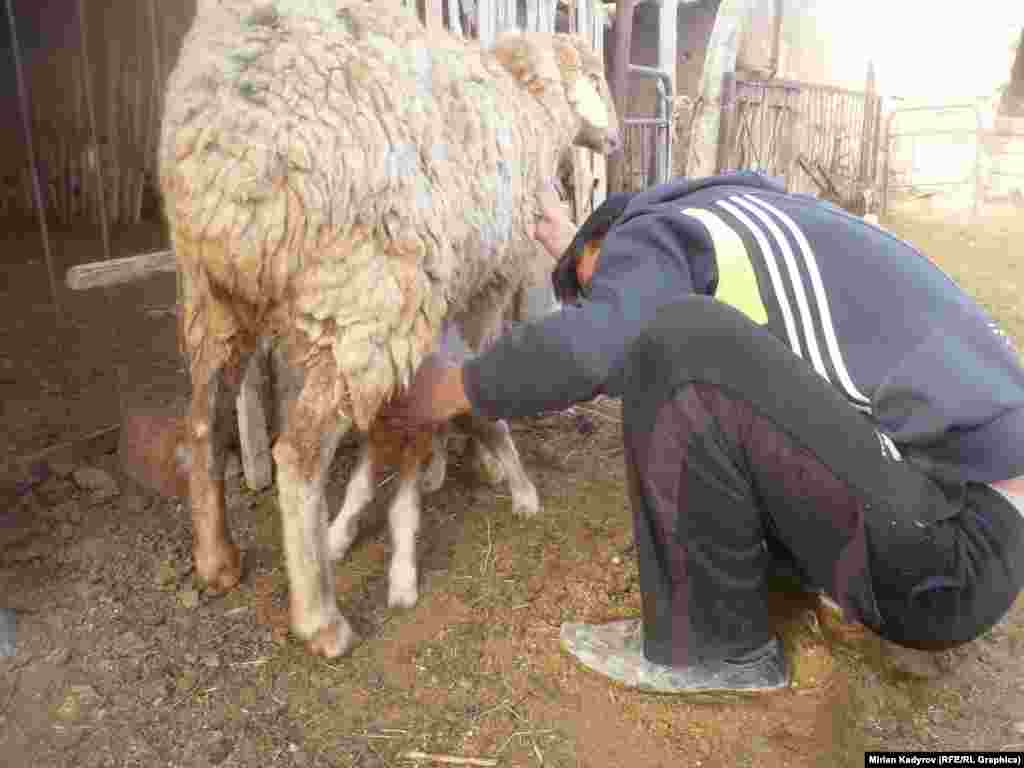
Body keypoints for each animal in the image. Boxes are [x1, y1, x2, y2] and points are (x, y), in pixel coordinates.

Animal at [156, 0, 618, 663]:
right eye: (599, 79)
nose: (615, 139)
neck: (530, 110)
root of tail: (222, 138)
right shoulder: (493, 276)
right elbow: (478, 356)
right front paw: (482, 455)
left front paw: (438, 460)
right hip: (362, 298)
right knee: (297, 455)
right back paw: (321, 620)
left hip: (212, 292)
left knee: (202, 421)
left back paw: (216, 560)